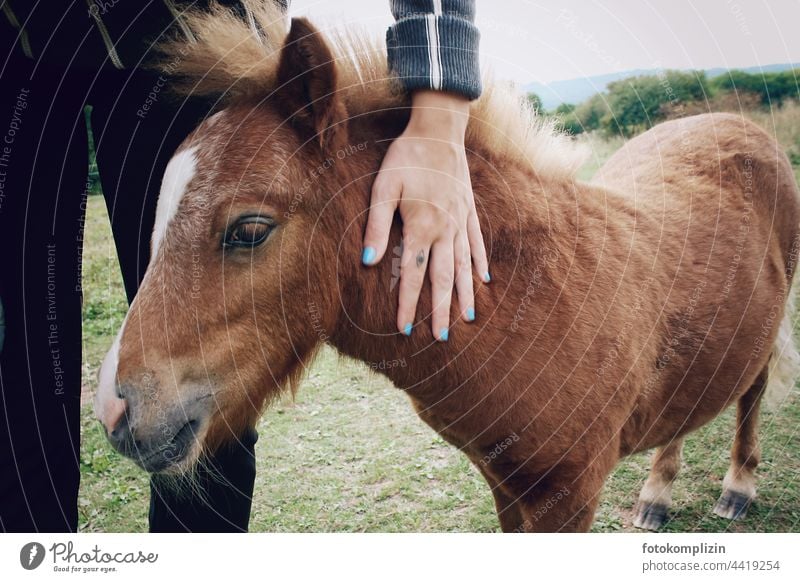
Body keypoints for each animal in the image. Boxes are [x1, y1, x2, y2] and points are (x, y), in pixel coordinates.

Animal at [95, 3, 800, 532]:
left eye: (249, 230)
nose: (115, 410)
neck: (523, 299)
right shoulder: (506, 485)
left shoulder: (568, 495)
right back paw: (656, 497)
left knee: (753, 388)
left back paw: (737, 487)